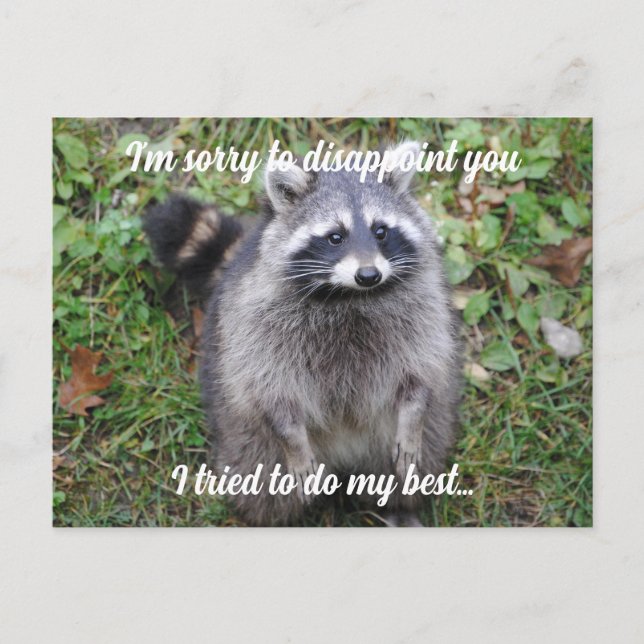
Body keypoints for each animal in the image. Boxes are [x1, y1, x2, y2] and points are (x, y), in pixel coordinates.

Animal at [144, 141, 462, 526]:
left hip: (421, 434)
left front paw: (412, 417)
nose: (369, 275)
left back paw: (397, 504)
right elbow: (270, 387)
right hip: (246, 436)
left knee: (411, 468)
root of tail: (344, 459)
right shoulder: (255, 321)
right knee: (262, 483)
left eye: (381, 231)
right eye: (335, 237)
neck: (348, 296)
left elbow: (422, 369)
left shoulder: (422, 306)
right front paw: (291, 437)